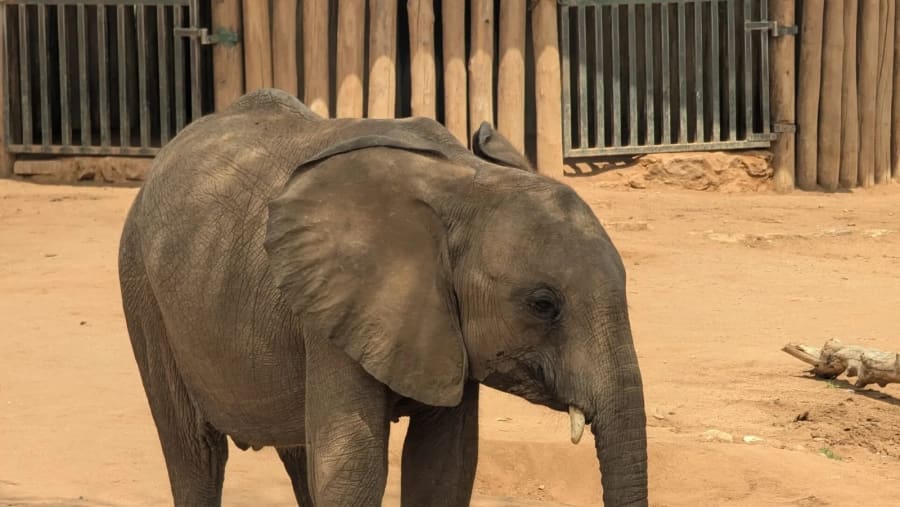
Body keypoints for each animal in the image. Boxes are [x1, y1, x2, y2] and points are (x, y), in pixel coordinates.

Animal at [118, 89, 648, 506]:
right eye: (543, 304)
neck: (466, 183)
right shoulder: (338, 309)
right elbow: (353, 470)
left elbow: (444, 467)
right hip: (141, 285)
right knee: (196, 453)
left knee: (295, 448)